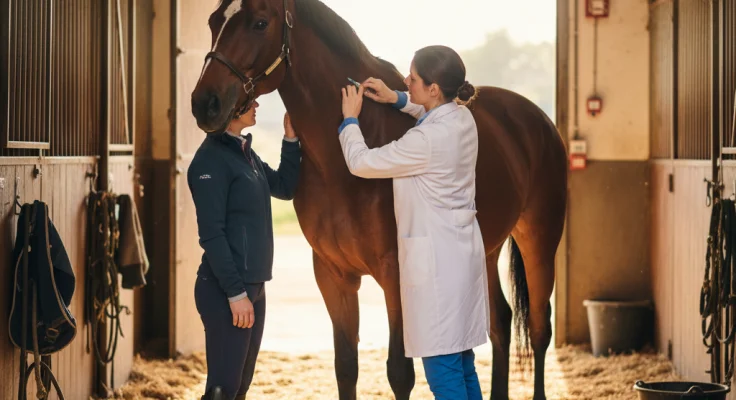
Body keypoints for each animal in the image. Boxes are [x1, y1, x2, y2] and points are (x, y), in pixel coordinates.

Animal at [191, 1, 567, 399]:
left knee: (539, 329)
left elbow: (399, 372)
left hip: (539, 241)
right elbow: (345, 366)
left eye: (260, 23)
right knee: (500, 322)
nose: (204, 104)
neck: (339, 164)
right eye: (213, 21)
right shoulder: (333, 275)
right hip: (487, 251)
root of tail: (537, 118)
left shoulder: (396, 274)